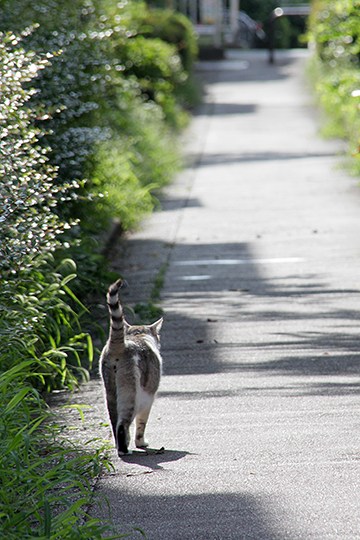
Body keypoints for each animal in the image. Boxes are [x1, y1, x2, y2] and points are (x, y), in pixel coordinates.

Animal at [100, 278, 164, 456]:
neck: (138, 335)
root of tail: (119, 345)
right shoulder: (148, 397)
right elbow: (141, 423)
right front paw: (140, 443)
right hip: (130, 391)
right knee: (123, 423)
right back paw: (124, 449)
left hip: (110, 390)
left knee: (114, 421)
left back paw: (118, 446)